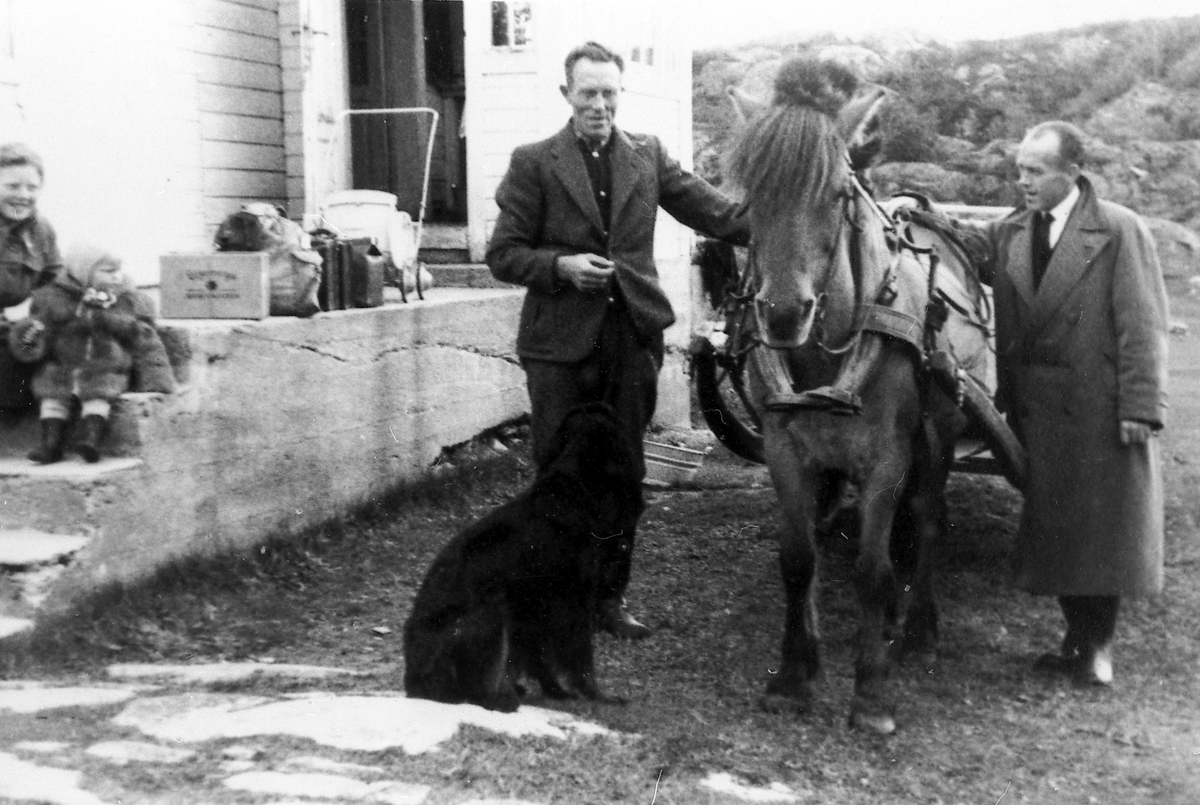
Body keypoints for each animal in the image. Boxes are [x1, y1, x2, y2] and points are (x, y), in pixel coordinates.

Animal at [405, 403, 648, 710]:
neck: (571, 491)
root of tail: (413, 683)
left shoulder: (535, 610)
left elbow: (542, 660)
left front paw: (557, 691)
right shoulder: (572, 603)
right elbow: (580, 662)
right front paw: (597, 696)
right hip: (488, 611)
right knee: (478, 691)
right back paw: (504, 699)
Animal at [724, 58, 979, 739]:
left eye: (838, 193)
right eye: (751, 197)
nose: (784, 313)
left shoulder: (888, 454)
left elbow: (871, 569)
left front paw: (870, 691)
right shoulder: (784, 449)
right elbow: (797, 558)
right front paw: (794, 675)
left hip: (938, 432)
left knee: (927, 517)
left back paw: (915, 629)